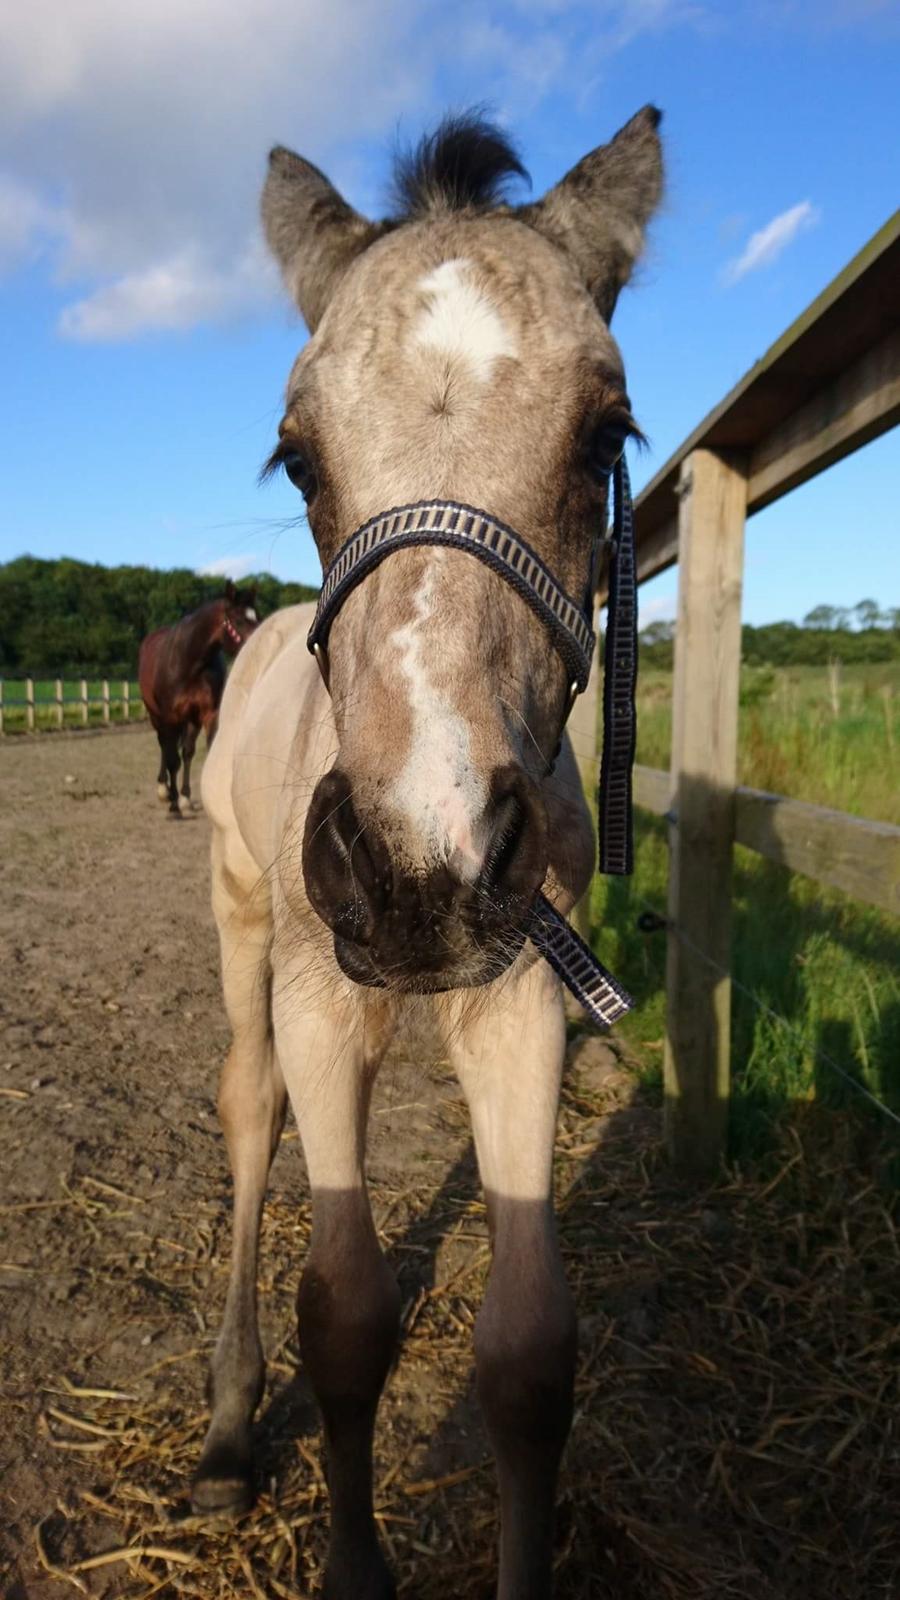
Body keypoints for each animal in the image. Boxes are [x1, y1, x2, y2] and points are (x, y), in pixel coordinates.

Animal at [136, 582, 257, 819]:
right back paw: (164, 791)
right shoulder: (170, 716)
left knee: (185, 751)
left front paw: (189, 800)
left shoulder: (207, 715)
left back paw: (184, 797)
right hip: (156, 715)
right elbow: (173, 760)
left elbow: (197, 753)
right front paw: (174, 806)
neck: (189, 662)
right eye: (238, 620)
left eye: (256, 616)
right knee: (164, 746)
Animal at [194, 109, 659, 1600]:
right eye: (297, 457)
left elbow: (528, 1355)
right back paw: (228, 1433)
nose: (419, 871)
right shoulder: (323, 996)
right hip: (244, 916)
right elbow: (344, 1312)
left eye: (604, 433)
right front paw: (351, 1557)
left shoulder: (522, 996)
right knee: (247, 1105)